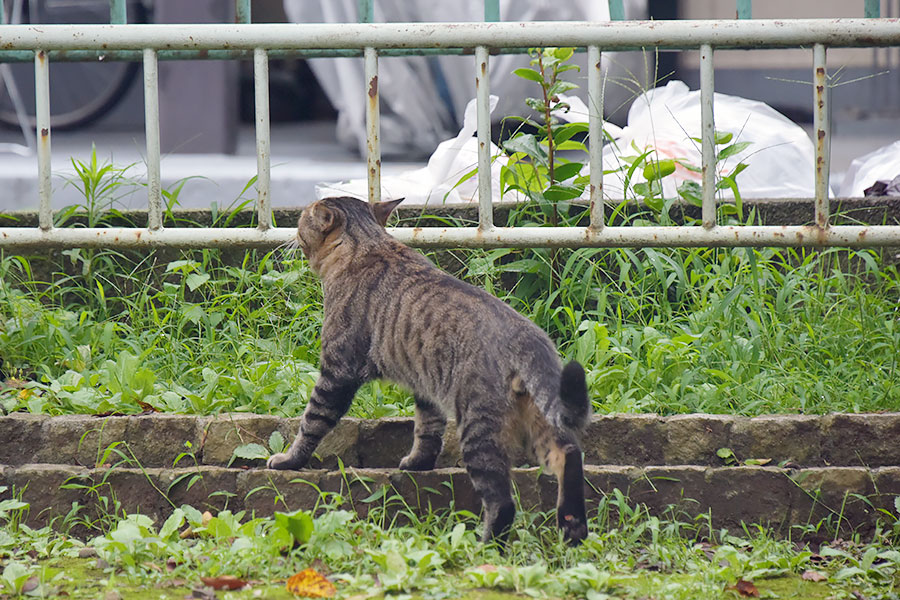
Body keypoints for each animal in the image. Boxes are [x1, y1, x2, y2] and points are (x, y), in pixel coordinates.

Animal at [268, 197, 592, 544]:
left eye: (302, 219)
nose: (292, 232)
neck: (367, 245)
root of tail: (527, 337)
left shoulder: (337, 371)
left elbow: (311, 422)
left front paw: (289, 460)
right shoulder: (425, 384)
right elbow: (427, 428)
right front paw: (418, 463)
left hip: (478, 430)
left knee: (502, 502)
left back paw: (485, 545)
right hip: (540, 419)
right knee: (568, 453)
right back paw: (573, 526)